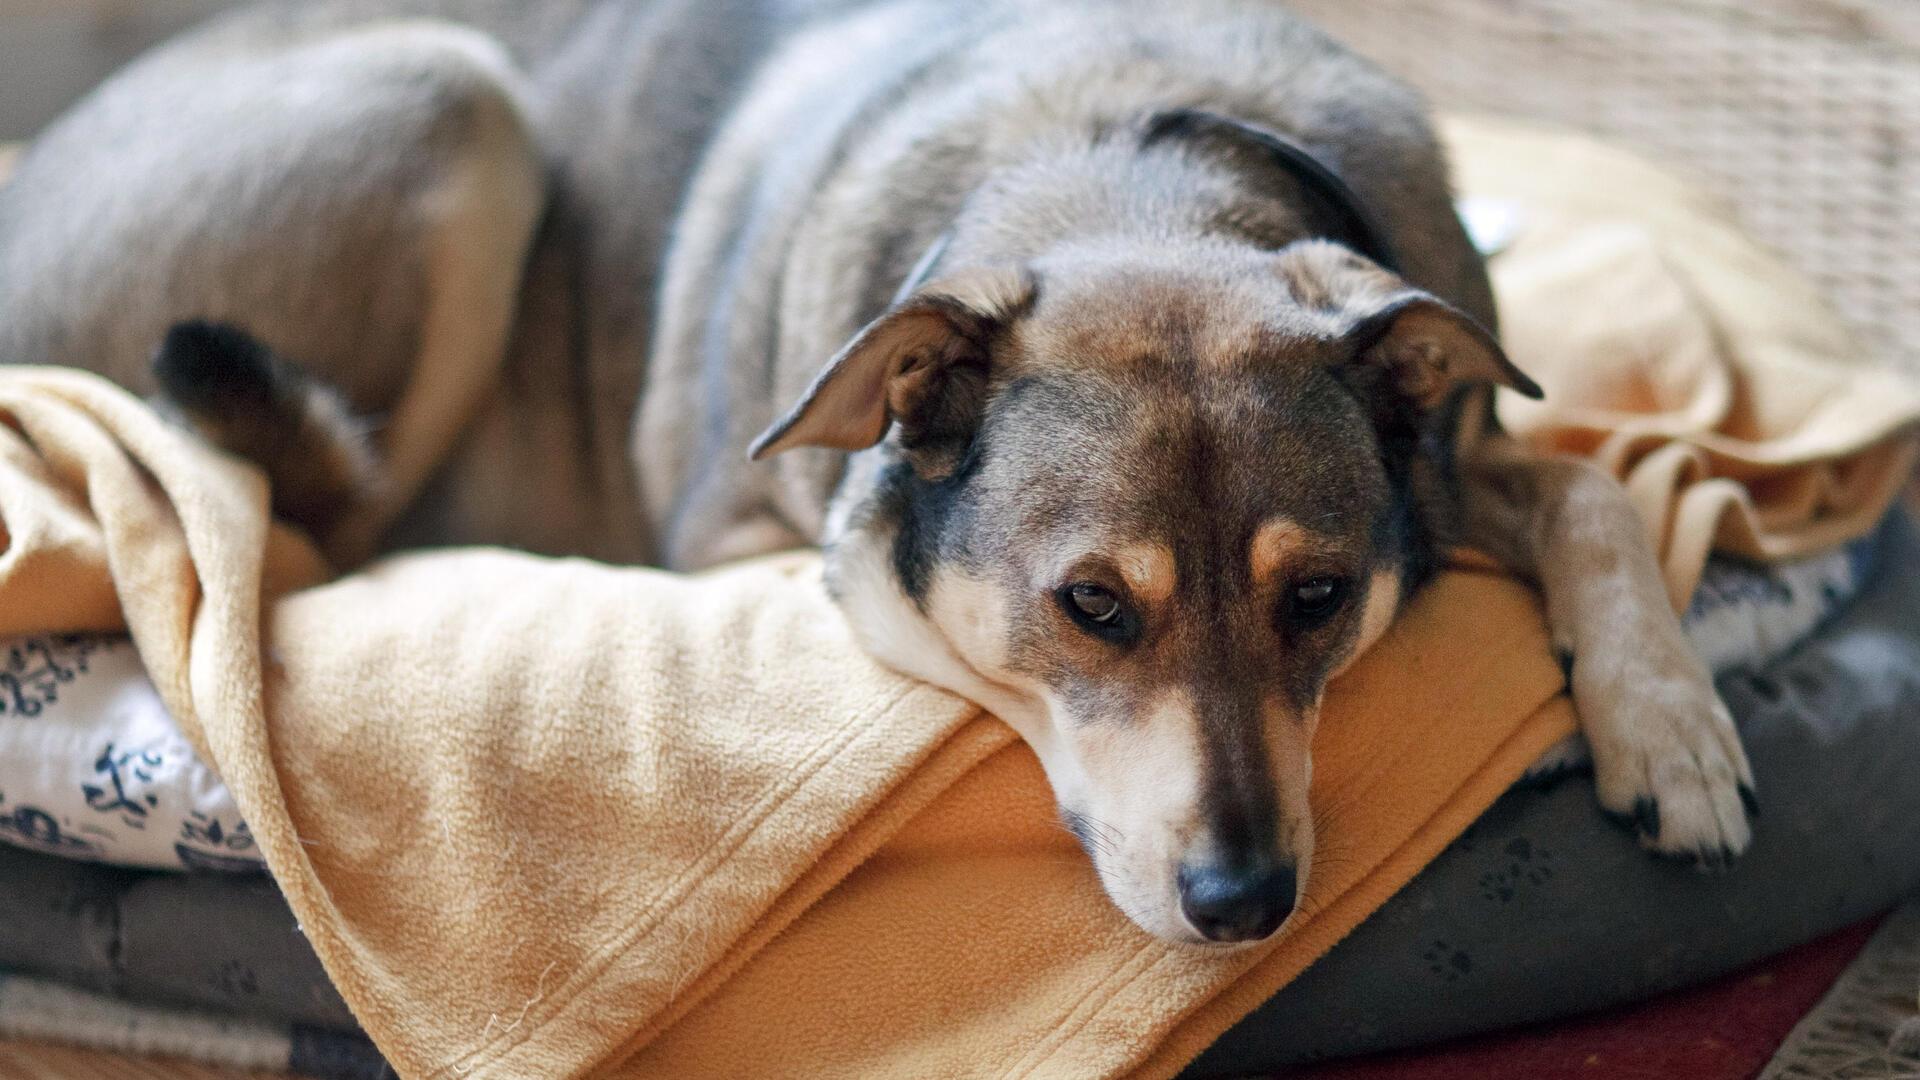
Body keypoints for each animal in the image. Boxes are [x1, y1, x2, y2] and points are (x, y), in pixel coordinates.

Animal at [0, 0, 1758, 941]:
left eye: (1321, 597)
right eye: (1091, 607)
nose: (1245, 903)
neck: (1125, 157)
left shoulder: (1452, 456)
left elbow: (1593, 483)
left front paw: (1672, 732)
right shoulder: (750, 533)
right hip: (453, 102)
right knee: (294, 525)